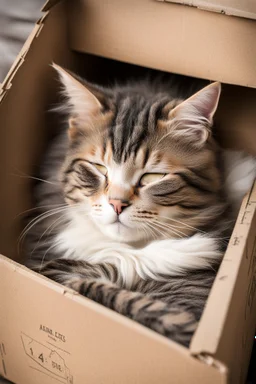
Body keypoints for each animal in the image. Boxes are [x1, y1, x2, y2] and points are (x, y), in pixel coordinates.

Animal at [23, 66, 255, 348]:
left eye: (153, 177)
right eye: (99, 168)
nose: (116, 204)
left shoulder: (193, 297)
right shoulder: (47, 262)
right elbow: (108, 280)